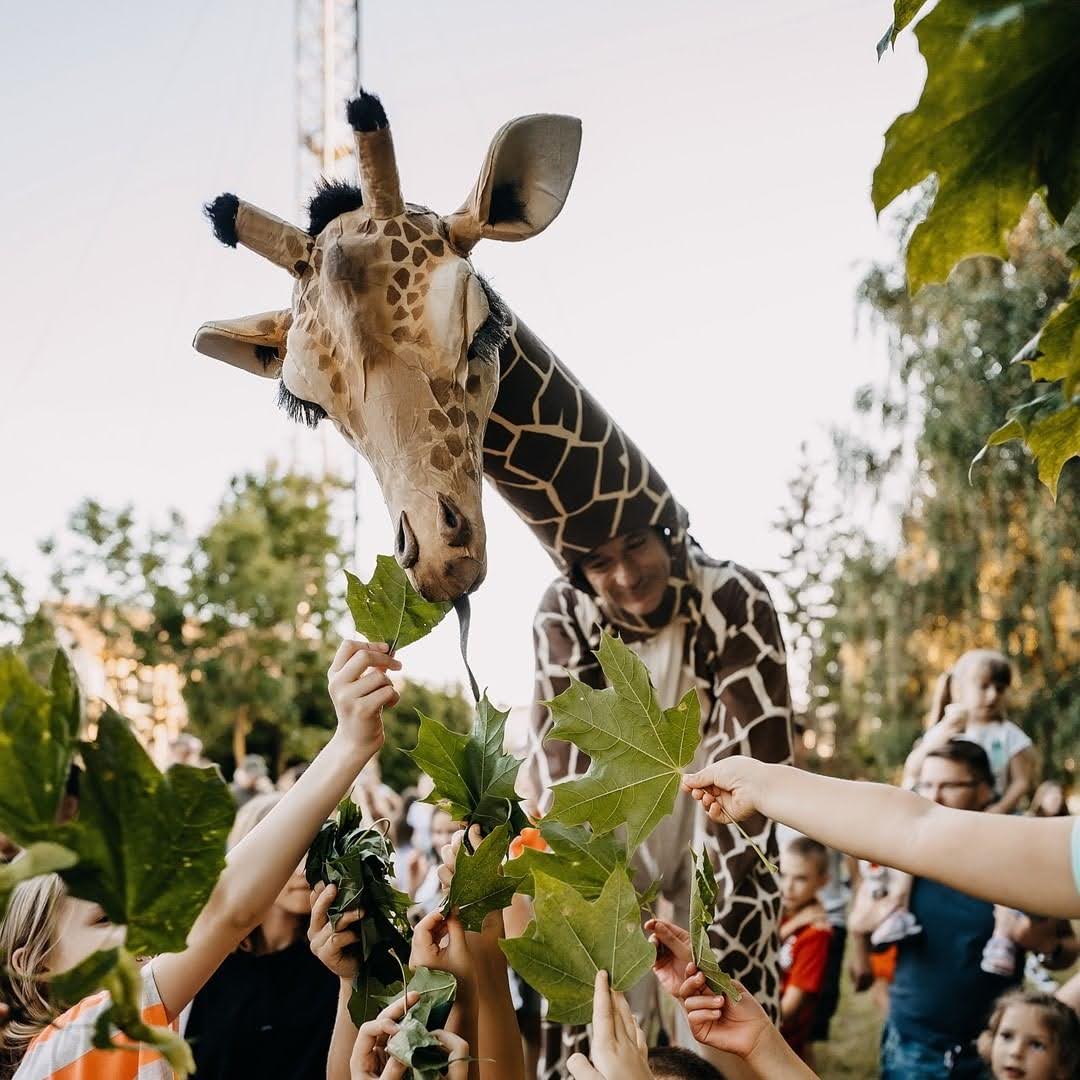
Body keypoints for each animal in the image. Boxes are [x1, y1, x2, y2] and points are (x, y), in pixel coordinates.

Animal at [195, 91, 791, 1073]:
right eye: (311, 402)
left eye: (478, 326)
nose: (439, 558)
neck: (634, 578)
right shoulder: (557, 719)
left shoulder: (755, 670)